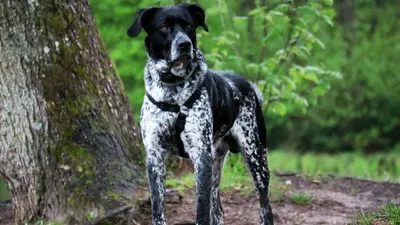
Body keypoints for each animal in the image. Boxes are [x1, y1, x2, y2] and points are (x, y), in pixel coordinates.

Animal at [128, 3, 276, 225]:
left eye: (188, 25)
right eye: (164, 27)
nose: (184, 44)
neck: (173, 90)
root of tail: (249, 86)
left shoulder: (201, 157)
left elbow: (201, 211)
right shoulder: (155, 156)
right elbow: (158, 208)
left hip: (255, 156)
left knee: (265, 206)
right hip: (216, 164)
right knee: (218, 210)